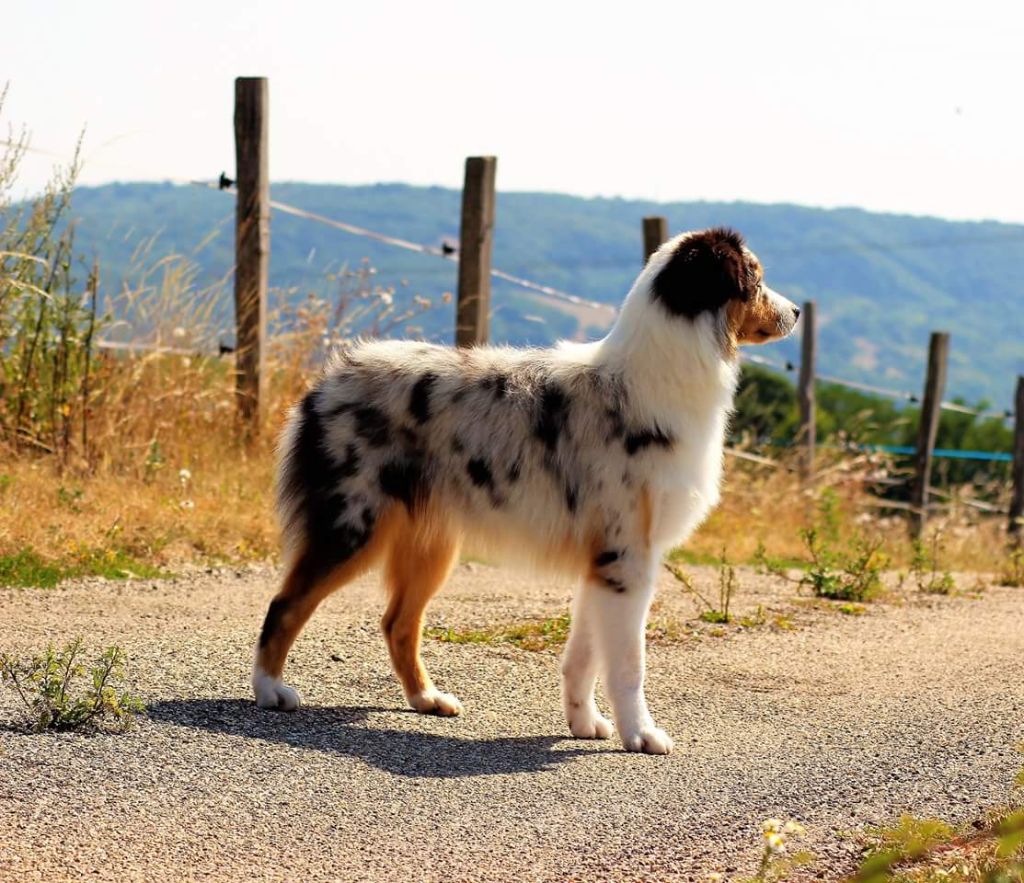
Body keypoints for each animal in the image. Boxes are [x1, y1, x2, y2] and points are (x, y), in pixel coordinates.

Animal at [253, 226, 798, 753]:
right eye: (755, 278)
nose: (795, 311)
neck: (658, 373)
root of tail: (327, 379)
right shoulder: (628, 559)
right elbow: (627, 664)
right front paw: (641, 735)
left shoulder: (603, 563)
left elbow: (584, 656)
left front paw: (585, 722)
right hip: (352, 526)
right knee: (286, 603)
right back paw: (269, 689)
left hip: (432, 544)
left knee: (398, 622)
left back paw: (427, 698)